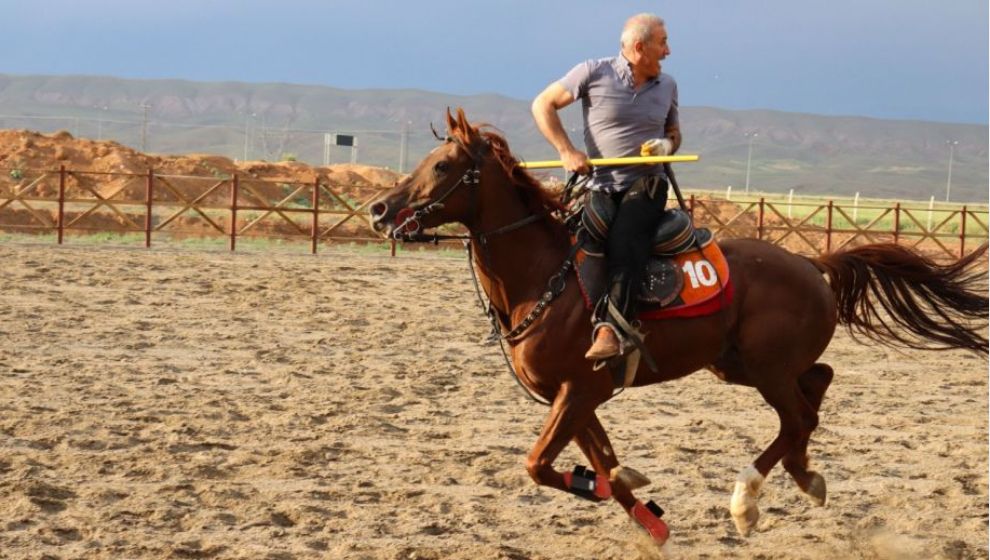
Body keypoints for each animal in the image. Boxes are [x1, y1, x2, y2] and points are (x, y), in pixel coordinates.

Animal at [368, 107, 988, 544]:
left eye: (442, 167)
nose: (378, 210)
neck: (547, 278)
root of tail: (812, 264)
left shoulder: (578, 391)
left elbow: (540, 463)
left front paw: (603, 487)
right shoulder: (580, 397)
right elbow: (602, 460)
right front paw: (643, 513)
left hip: (766, 368)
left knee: (797, 416)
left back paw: (747, 500)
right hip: (736, 364)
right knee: (817, 389)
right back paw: (805, 476)